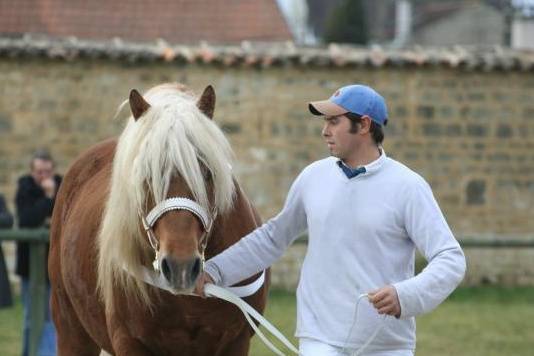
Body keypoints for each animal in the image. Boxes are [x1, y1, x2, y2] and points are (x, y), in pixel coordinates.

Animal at [48, 84, 270, 356]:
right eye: (146, 175)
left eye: (207, 172)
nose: (180, 267)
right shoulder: (129, 341)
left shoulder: (236, 341)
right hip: (70, 329)